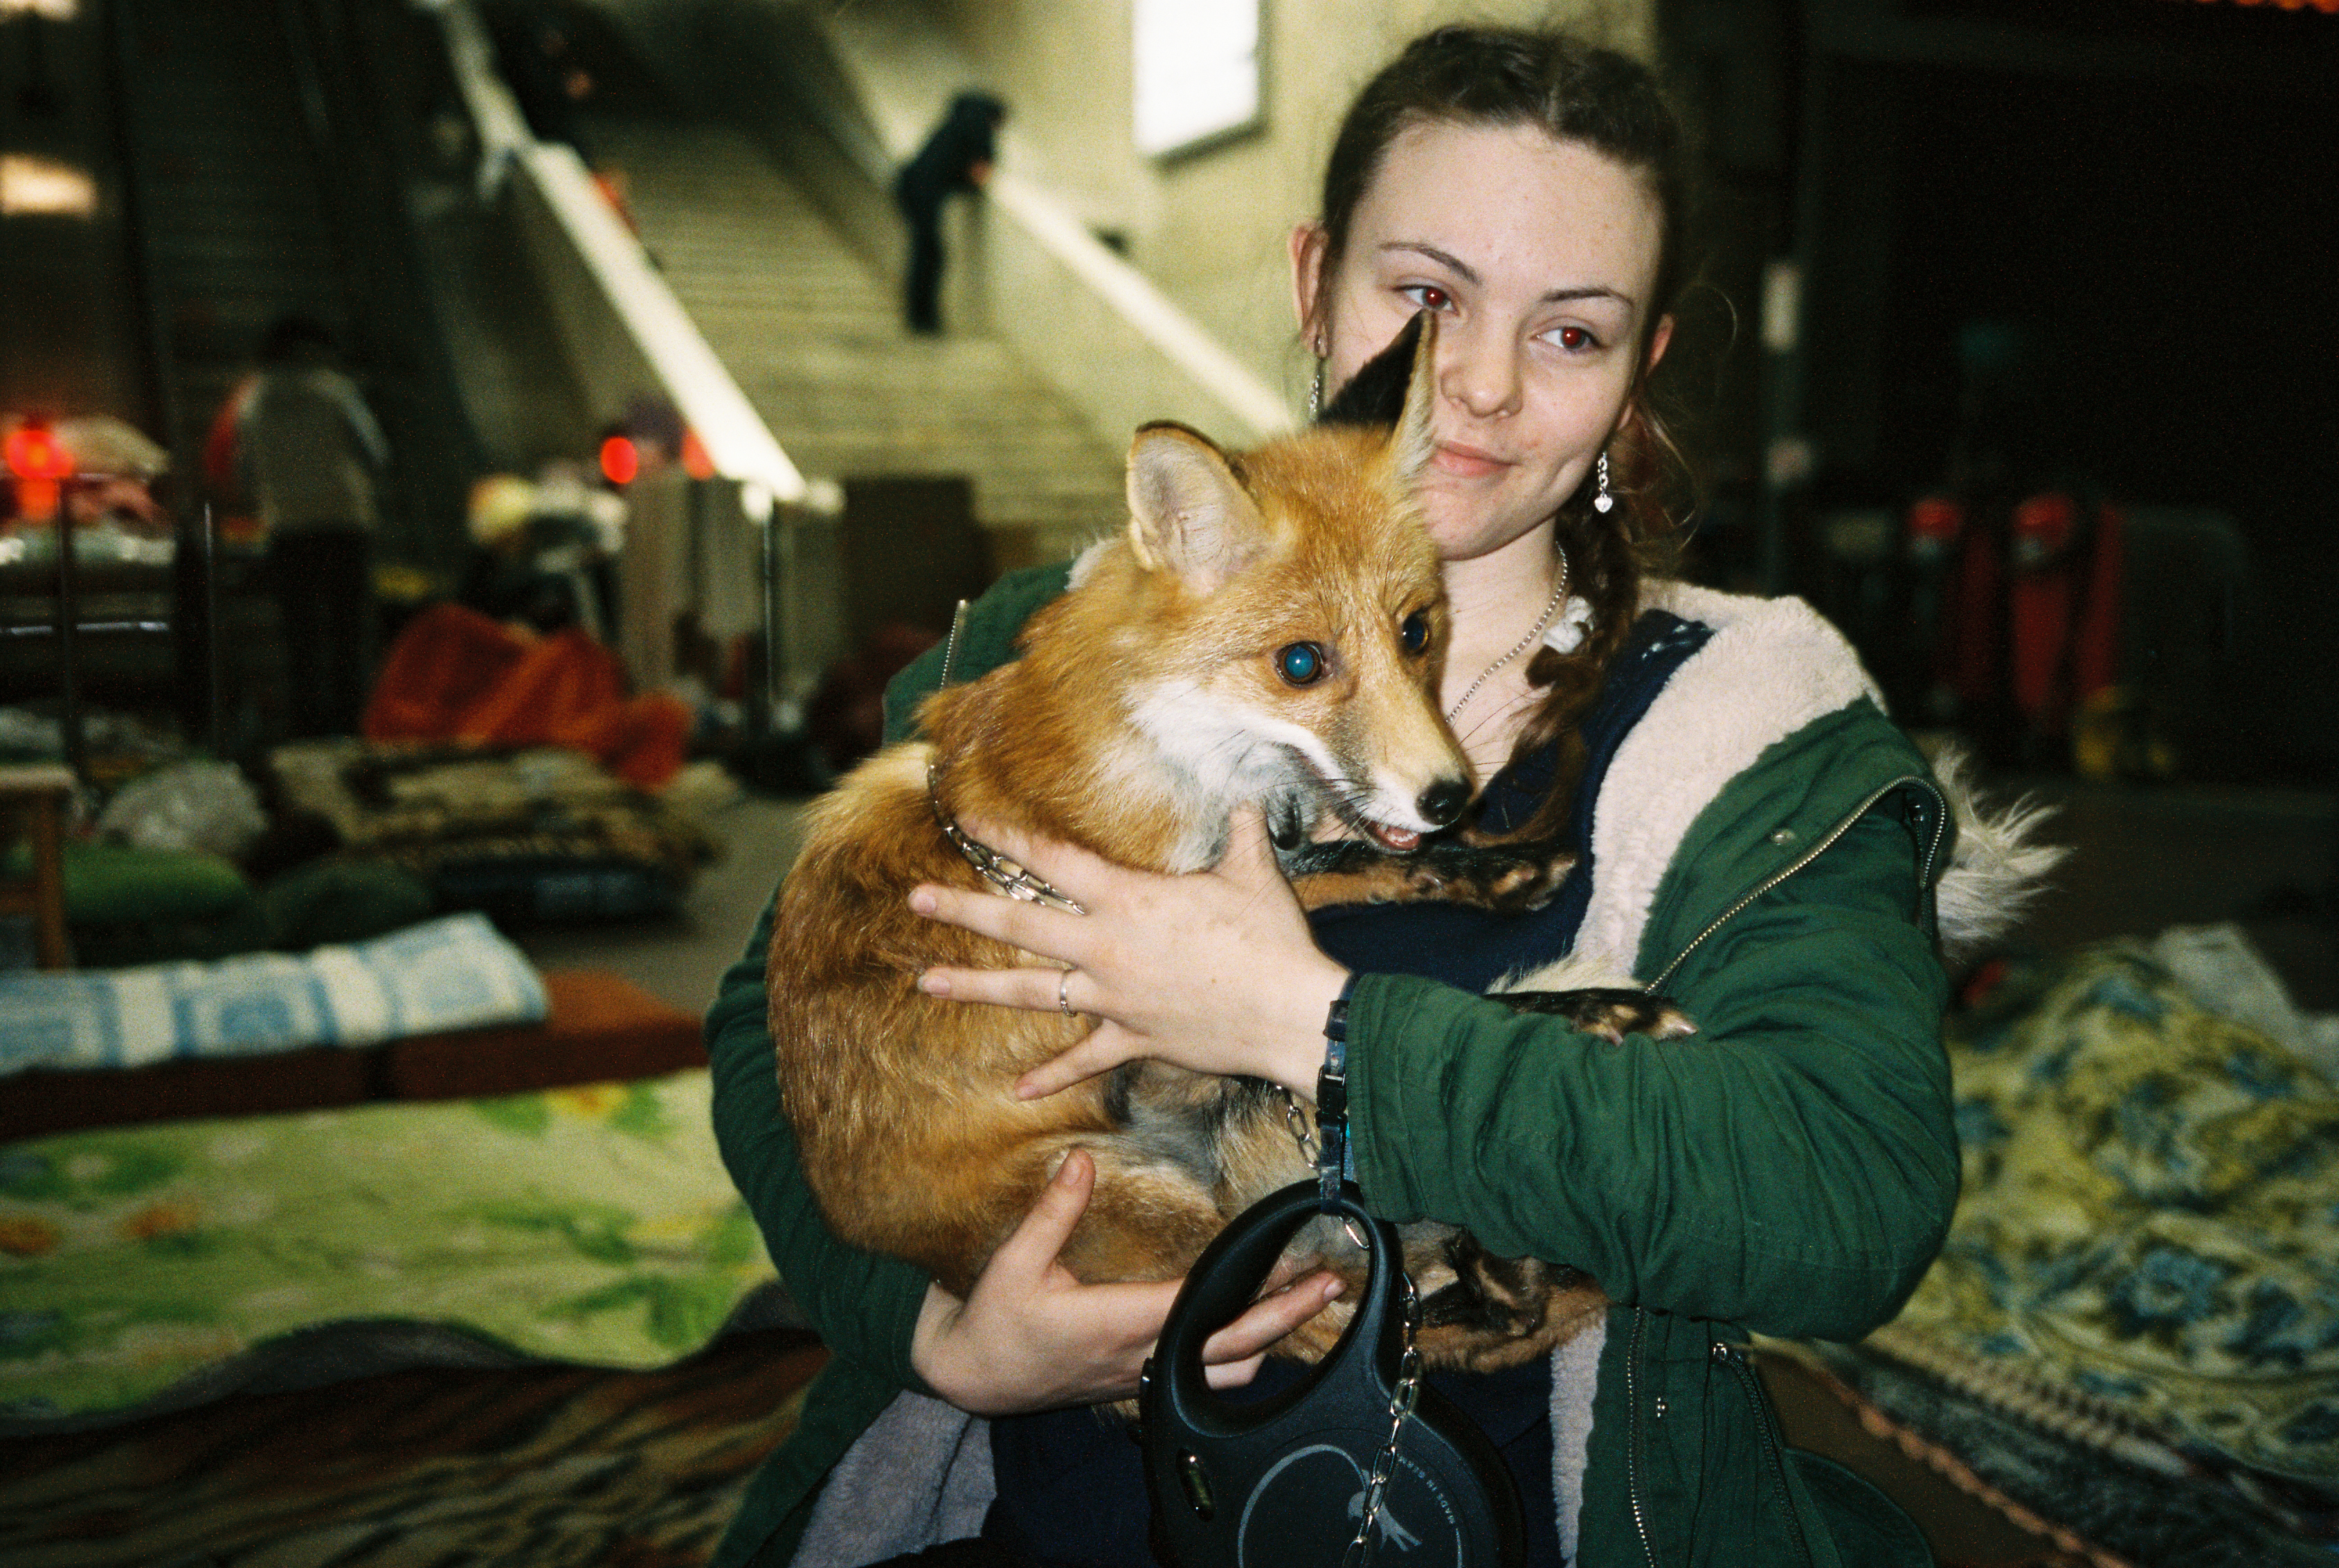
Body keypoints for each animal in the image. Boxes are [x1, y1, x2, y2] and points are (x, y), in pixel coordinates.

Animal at [767, 314, 1683, 1367]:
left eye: (1416, 632)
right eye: (1301, 664)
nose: (1451, 795)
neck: (1166, 758)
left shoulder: (1246, 884)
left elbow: (1347, 863)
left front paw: (1498, 871)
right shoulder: (1151, 1028)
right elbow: (1382, 981)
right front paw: (1597, 1007)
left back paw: (1496, 1272)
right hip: (1149, 1208)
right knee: (1333, 1300)